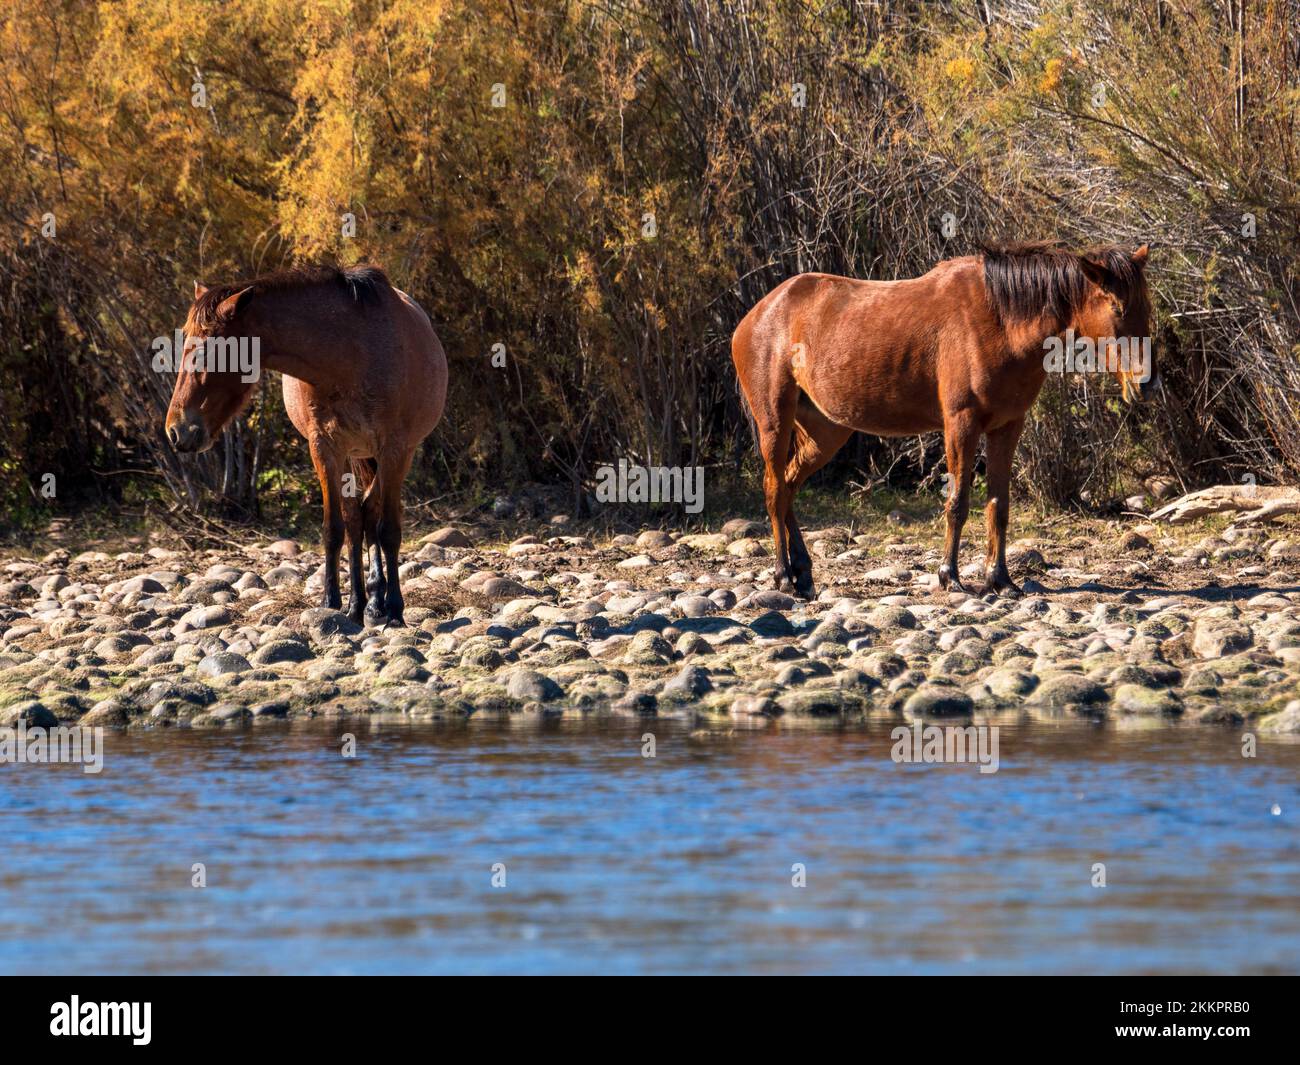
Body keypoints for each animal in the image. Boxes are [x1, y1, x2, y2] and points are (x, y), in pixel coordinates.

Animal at [164, 265, 448, 626]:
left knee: (371, 514)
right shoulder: (324, 447)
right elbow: (334, 528)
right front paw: (333, 602)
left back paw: (377, 601)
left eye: (204, 352)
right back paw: (363, 603)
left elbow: (388, 530)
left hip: (386, 455)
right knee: (357, 518)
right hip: (354, 455)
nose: (176, 430)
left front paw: (395, 608)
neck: (352, 353)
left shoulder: (395, 449)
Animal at [731, 241, 1155, 600]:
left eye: (1146, 308)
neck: (1000, 319)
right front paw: (949, 576)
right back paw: (783, 575)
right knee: (774, 490)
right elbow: (958, 502)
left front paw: (1000, 579)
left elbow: (998, 506)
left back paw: (802, 572)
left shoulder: (1007, 427)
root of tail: (757, 314)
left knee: (788, 486)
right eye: (1117, 309)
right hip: (775, 421)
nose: (1145, 384)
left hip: (826, 432)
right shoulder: (961, 424)